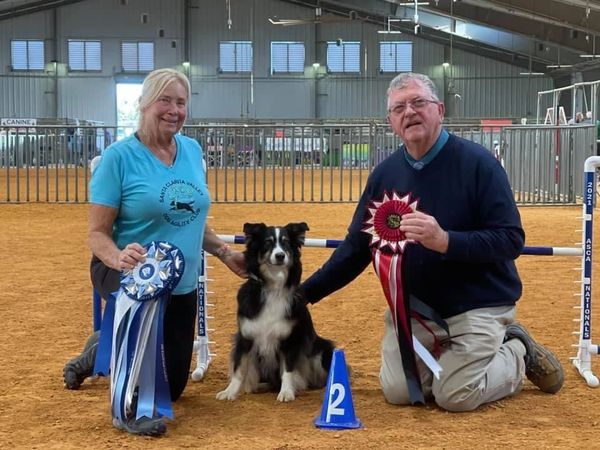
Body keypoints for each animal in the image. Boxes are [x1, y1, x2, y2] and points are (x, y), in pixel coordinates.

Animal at [216, 222, 334, 402]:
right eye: (267, 243)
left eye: (286, 243)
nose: (280, 256)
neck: (273, 287)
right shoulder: (245, 337)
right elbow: (239, 368)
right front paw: (230, 391)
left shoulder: (290, 339)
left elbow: (288, 369)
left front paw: (286, 392)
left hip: (322, 349)